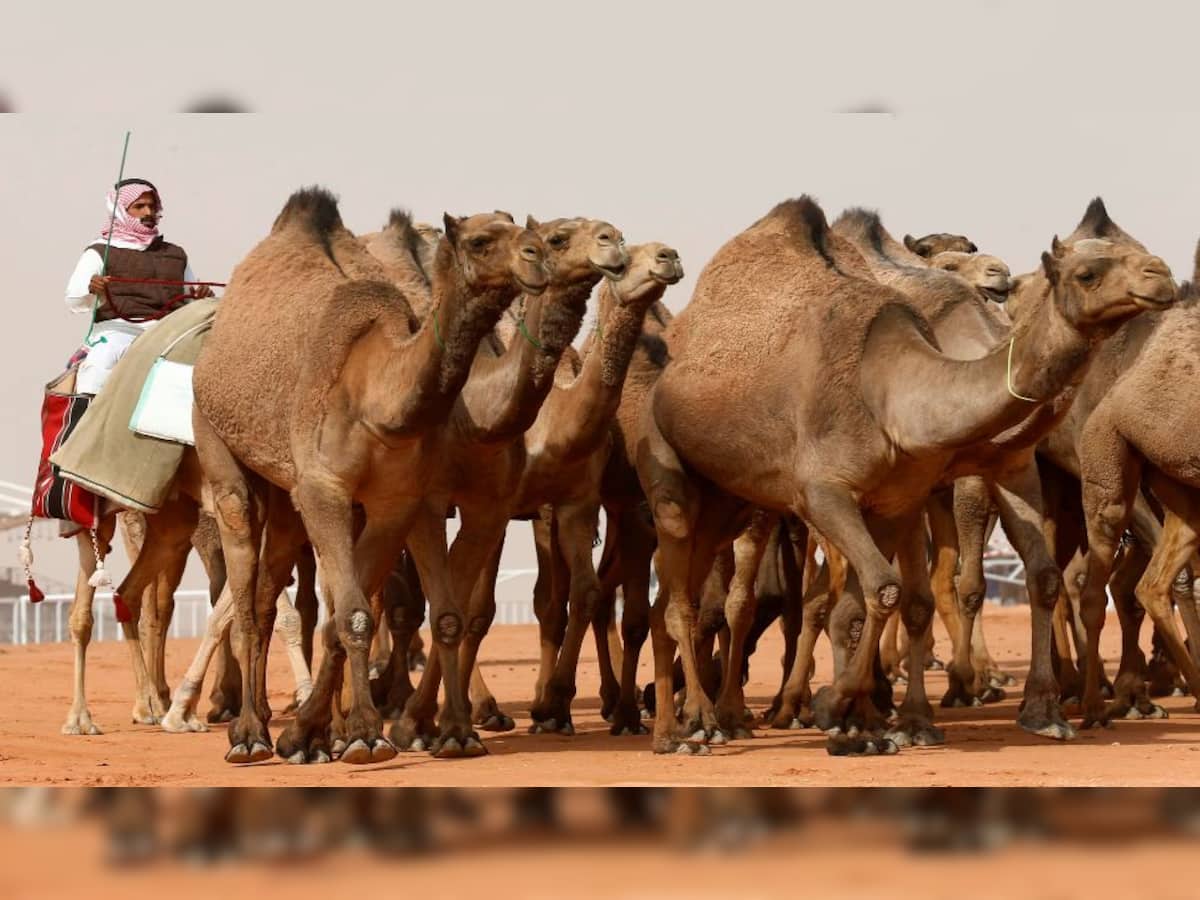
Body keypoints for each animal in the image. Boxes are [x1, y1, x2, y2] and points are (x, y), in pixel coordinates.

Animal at [191, 188, 549, 764]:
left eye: (520, 226)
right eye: (479, 240)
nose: (537, 255)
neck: (380, 398)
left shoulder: (391, 501)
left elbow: (353, 612)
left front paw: (341, 733)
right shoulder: (325, 491)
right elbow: (353, 611)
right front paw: (360, 734)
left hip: (287, 492)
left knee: (269, 593)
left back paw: (272, 725)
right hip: (215, 438)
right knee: (243, 580)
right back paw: (247, 735)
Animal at [635, 196, 1173, 754]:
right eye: (1087, 273)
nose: (1161, 274)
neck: (894, 391)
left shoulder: (940, 484)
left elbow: (998, 583)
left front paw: (1035, 712)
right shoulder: (826, 493)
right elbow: (889, 592)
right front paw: (847, 709)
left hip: (727, 499)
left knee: (690, 596)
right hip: (672, 469)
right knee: (692, 598)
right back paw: (702, 722)